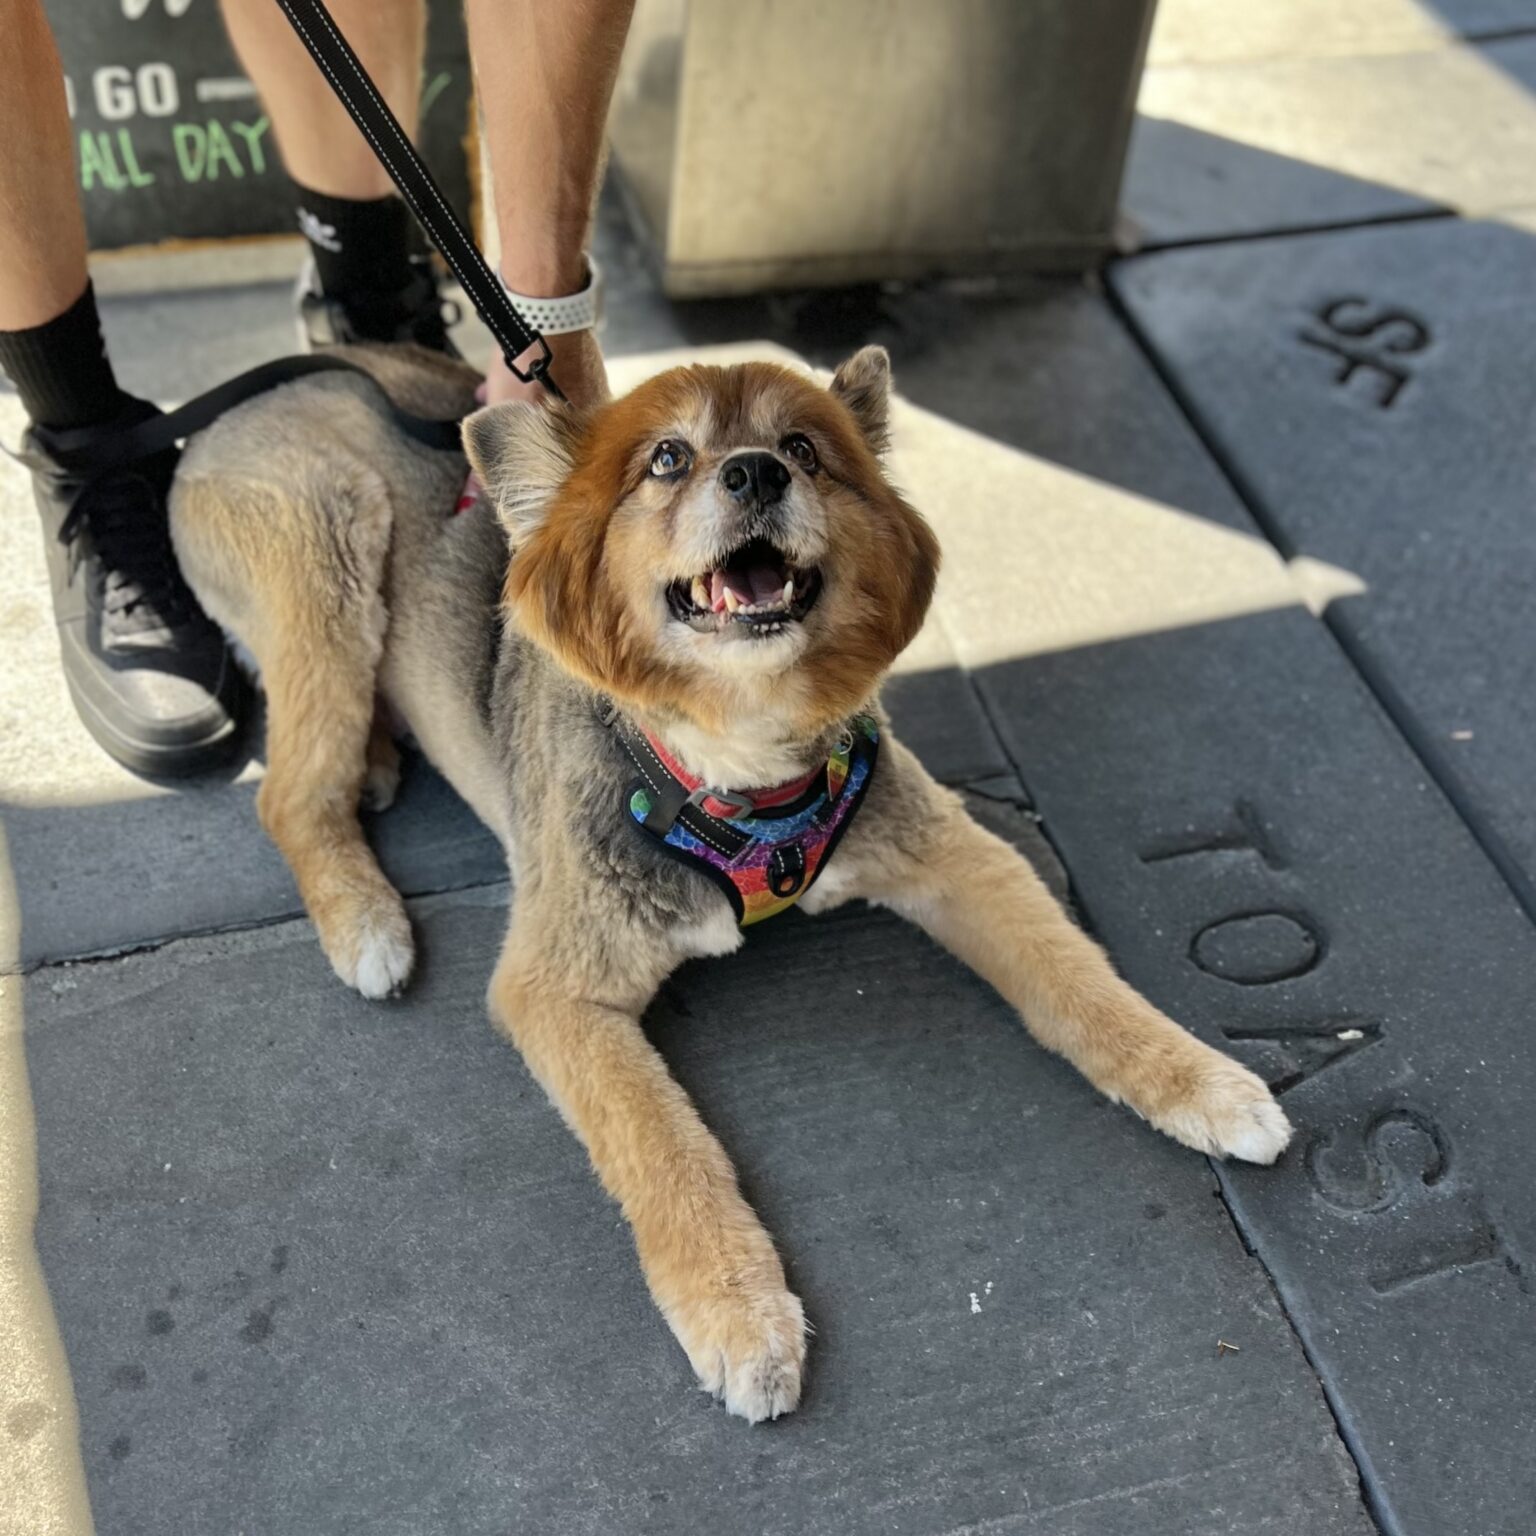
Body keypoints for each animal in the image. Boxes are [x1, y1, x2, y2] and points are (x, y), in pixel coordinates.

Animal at [171, 342, 1296, 1419]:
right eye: (668, 459)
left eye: (803, 447)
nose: (757, 471)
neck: (737, 762)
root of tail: (231, 406)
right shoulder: (556, 989)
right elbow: (664, 1145)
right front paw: (737, 1311)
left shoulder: (956, 854)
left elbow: (1075, 980)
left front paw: (1198, 1080)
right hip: (325, 560)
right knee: (288, 790)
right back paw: (364, 917)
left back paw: (379, 761)